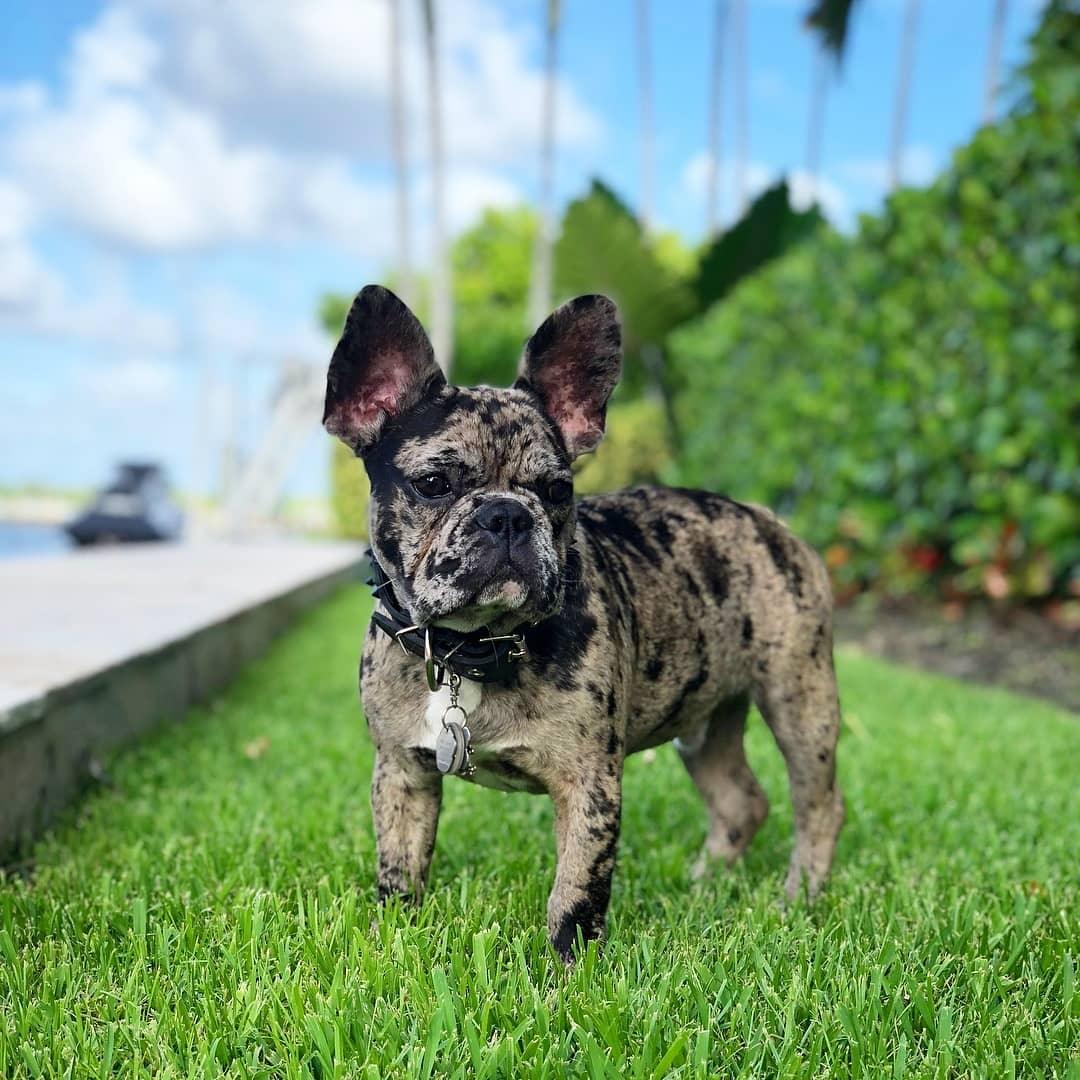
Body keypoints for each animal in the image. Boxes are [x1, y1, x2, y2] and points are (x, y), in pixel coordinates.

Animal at [319, 285, 842, 963]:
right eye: (433, 484)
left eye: (557, 490)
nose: (507, 515)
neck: (470, 647)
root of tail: (769, 520)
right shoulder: (401, 773)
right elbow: (400, 866)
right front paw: (394, 940)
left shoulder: (588, 785)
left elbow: (577, 886)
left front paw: (569, 967)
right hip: (703, 723)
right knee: (739, 802)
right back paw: (704, 884)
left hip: (801, 703)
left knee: (819, 806)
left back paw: (798, 896)